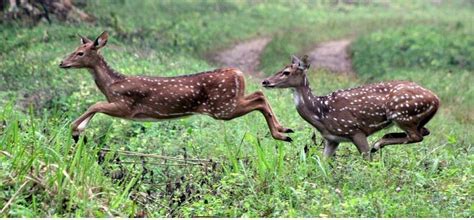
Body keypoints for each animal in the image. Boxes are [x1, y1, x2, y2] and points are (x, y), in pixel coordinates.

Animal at [58, 32, 292, 143]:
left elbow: (94, 105)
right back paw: (284, 130)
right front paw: (80, 131)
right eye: (74, 49)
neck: (111, 84)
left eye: (80, 53)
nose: (61, 63)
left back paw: (281, 134)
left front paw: (76, 130)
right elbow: (94, 106)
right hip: (229, 102)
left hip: (222, 107)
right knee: (260, 94)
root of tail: (238, 73)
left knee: (259, 98)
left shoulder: (126, 106)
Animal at [262, 55, 438, 158]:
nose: (265, 81)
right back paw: (380, 142)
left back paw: (377, 144)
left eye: (286, 72)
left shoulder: (355, 130)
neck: (321, 113)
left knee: (416, 136)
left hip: (401, 114)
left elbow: (367, 159)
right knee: (423, 132)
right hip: (412, 118)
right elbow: (322, 163)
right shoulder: (332, 139)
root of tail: (436, 99)